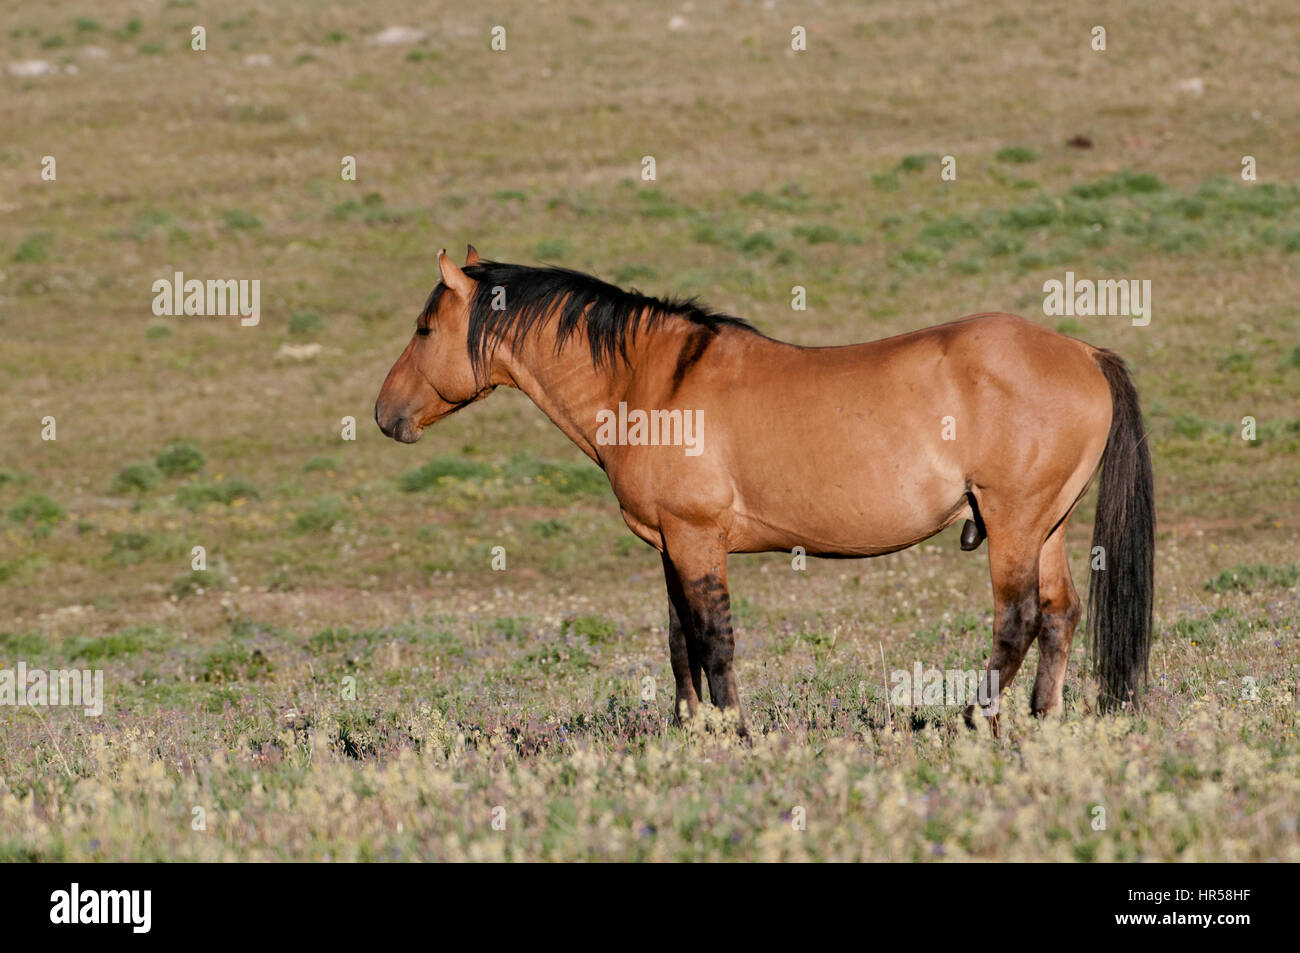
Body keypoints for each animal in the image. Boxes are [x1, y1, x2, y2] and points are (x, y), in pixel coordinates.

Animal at [377, 247, 1159, 738]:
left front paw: (737, 733)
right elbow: (680, 644)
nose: (385, 415)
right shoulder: (672, 543)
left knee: (1018, 618)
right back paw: (1041, 722)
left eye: (424, 327)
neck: (653, 382)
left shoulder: (696, 537)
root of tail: (1083, 352)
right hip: (1047, 525)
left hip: (1014, 523)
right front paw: (694, 730)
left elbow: (715, 640)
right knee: (1060, 614)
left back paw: (976, 719)